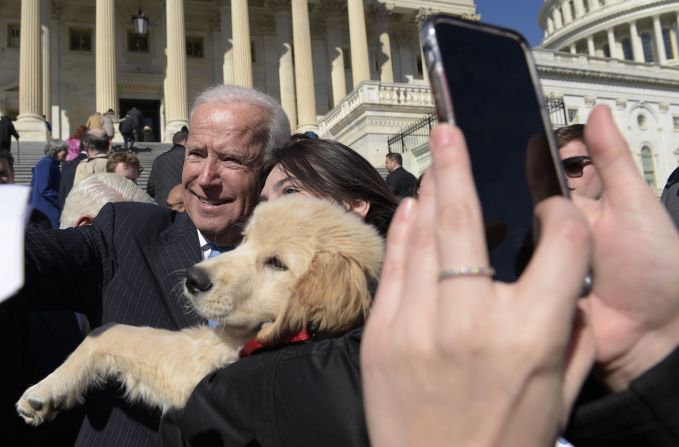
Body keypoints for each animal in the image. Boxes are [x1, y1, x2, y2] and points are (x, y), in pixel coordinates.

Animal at [15, 197, 382, 428]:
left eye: (278, 263)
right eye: (244, 240)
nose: (193, 279)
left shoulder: (200, 364)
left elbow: (110, 333)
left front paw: (45, 390)